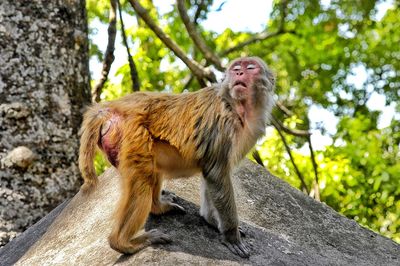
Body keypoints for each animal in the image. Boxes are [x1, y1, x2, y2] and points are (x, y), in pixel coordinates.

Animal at [78, 56, 276, 258]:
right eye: (236, 69)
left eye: (250, 68)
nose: (239, 73)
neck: (236, 105)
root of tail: (111, 107)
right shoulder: (223, 125)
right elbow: (217, 174)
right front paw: (231, 235)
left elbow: (211, 174)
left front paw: (212, 221)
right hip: (133, 132)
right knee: (143, 181)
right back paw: (122, 242)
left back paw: (158, 207)